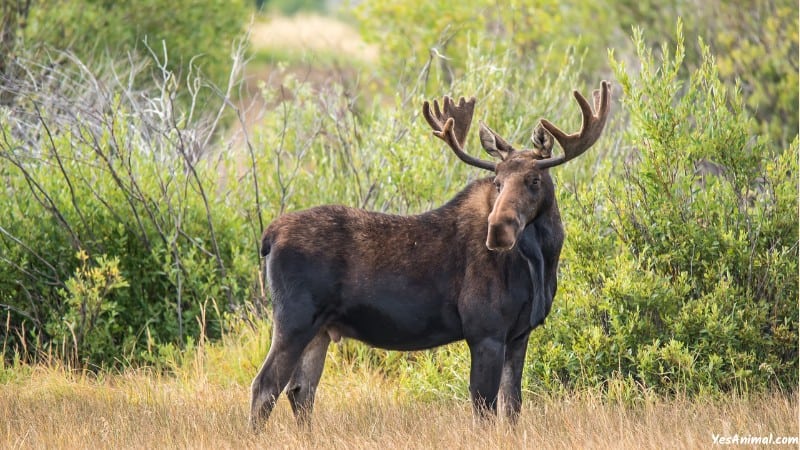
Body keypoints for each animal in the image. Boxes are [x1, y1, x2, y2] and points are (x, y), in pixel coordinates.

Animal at [250, 80, 612, 428]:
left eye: (534, 179)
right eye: (497, 181)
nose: (498, 230)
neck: (541, 261)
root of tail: (269, 236)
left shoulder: (519, 334)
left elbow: (512, 408)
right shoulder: (485, 332)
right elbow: (484, 410)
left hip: (320, 330)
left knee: (300, 390)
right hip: (294, 320)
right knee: (265, 386)